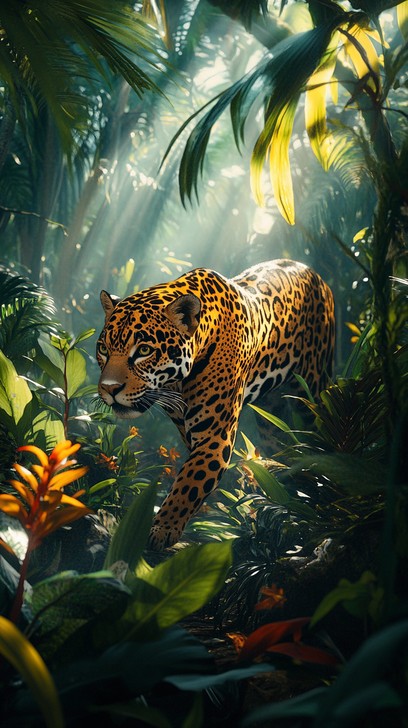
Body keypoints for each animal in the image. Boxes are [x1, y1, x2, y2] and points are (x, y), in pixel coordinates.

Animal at [97, 259, 335, 550]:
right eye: (104, 349)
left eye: (143, 350)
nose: (109, 389)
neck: (175, 383)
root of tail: (313, 273)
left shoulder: (214, 437)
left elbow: (189, 483)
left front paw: (162, 529)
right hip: (271, 420)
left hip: (313, 390)